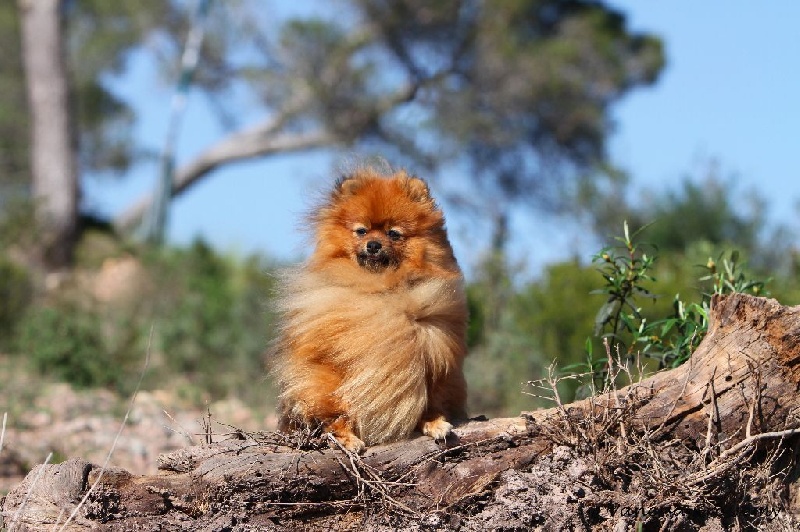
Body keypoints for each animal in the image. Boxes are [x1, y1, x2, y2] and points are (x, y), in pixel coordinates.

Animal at [274, 166, 468, 454]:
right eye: (362, 231)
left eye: (393, 233)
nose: (374, 245)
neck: (382, 287)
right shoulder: (328, 365)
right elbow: (336, 412)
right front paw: (345, 435)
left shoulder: (433, 352)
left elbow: (431, 400)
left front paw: (434, 422)